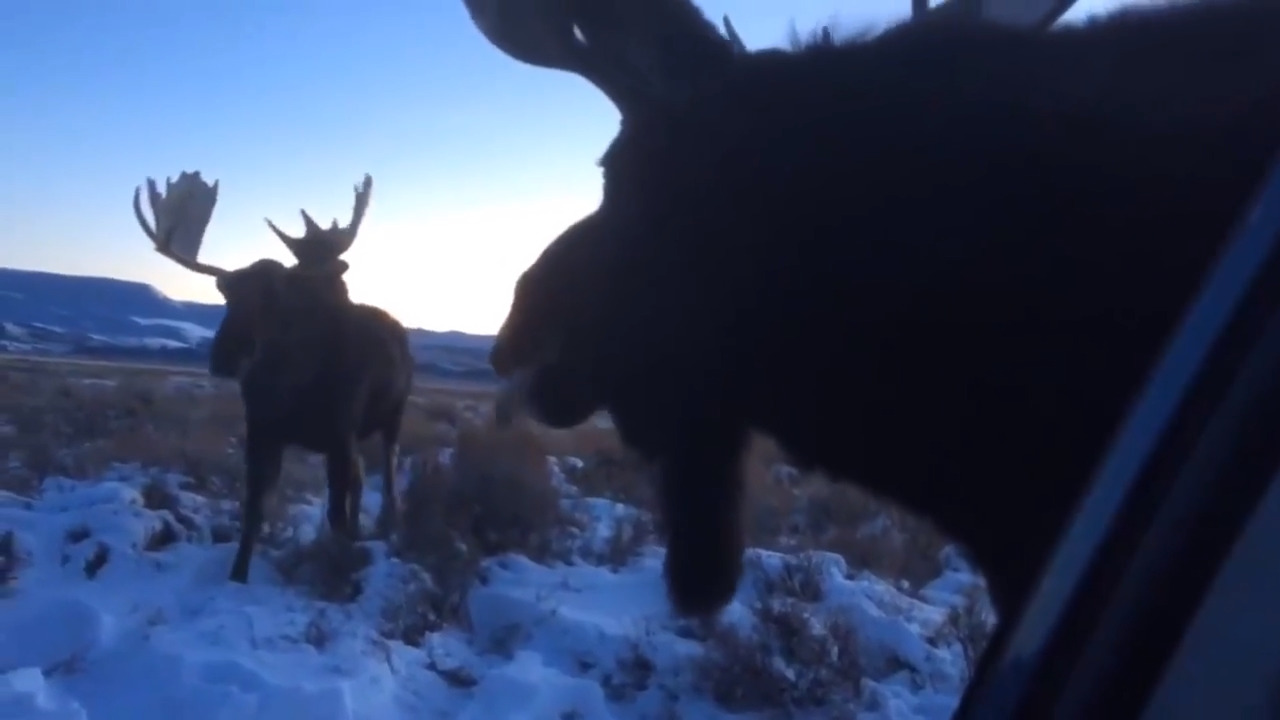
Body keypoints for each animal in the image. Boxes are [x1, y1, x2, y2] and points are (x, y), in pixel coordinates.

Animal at [132, 170, 414, 583]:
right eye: (227, 296)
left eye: (274, 298)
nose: (223, 358)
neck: (290, 386)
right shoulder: (262, 431)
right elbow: (253, 509)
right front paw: (238, 574)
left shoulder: (339, 434)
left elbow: (334, 514)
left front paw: (338, 562)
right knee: (362, 476)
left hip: (393, 415)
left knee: (389, 474)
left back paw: (385, 524)